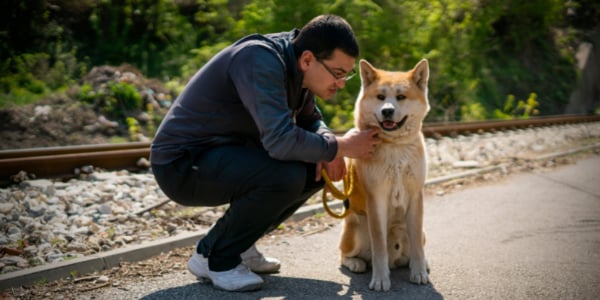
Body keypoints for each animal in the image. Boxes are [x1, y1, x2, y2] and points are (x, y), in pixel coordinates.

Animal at [338, 58, 432, 290]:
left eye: (401, 97)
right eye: (381, 97)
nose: (387, 111)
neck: (394, 146)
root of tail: (395, 260)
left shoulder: (416, 196)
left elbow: (417, 245)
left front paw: (418, 272)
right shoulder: (376, 198)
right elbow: (379, 244)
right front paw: (380, 279)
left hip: (422, 231)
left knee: (415, 247)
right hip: (355, 228)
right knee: (343, 255)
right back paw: (356, 263)